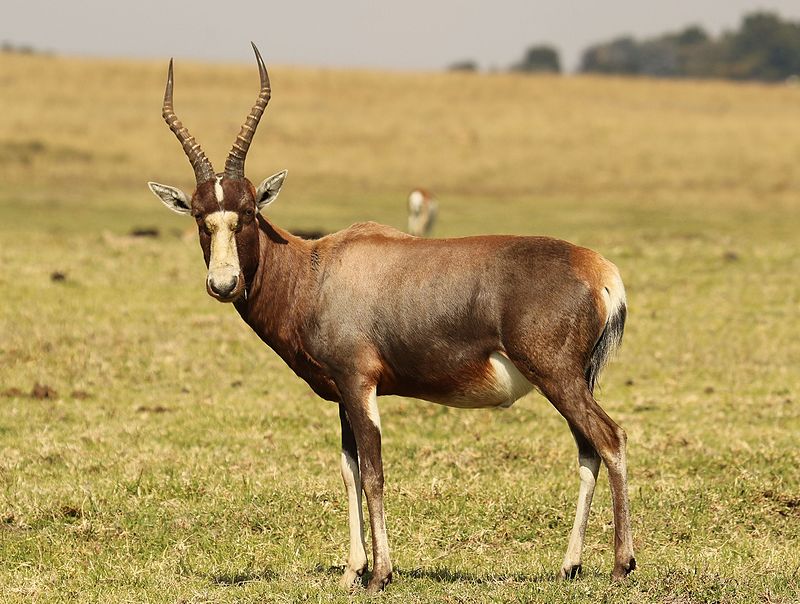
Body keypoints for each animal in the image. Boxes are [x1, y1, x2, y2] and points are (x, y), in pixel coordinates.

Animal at [147, 44, 636, 592]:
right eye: (199, 216)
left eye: (249, 210)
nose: (224, 284)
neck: (318, 269)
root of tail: (599, 269)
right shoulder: (342, 392)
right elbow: (349, 470)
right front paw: (351, 571)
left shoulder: (360, 383)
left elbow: (375, 471)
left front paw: (380, 574)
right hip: (575, 380)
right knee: (588, 450)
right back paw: (570, 565)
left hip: (558, 377)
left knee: (609, 438)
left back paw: (621, 564)